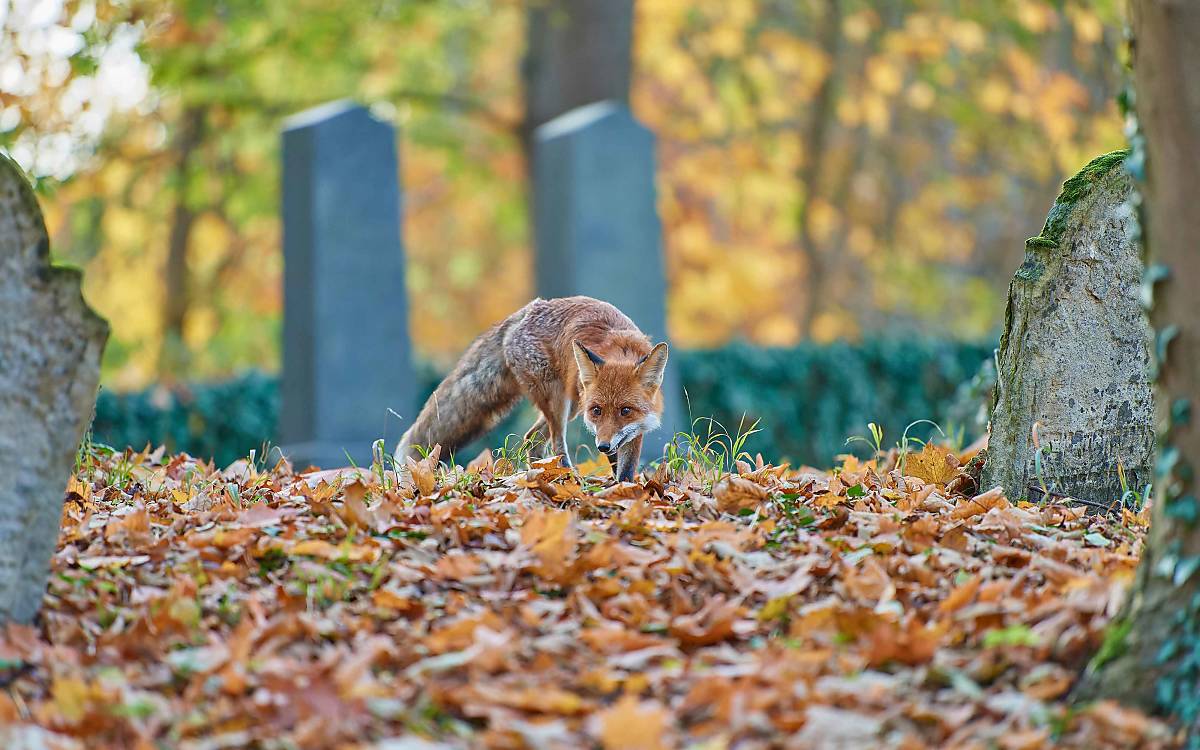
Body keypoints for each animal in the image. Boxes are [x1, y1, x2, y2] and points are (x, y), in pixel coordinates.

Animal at [395, 296, 668, 482]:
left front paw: (625, 488)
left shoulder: (634, 428)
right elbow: (615, 460)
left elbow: (627, 467)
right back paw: (566, 477)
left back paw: (544, 474)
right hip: (558, 400)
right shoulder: (600, 427)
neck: (622, 351)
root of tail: (524, 312)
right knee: (555, 443)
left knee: (532, 439)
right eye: (597, 410)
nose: (602, 446)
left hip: (571, 405)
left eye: (625, 411)